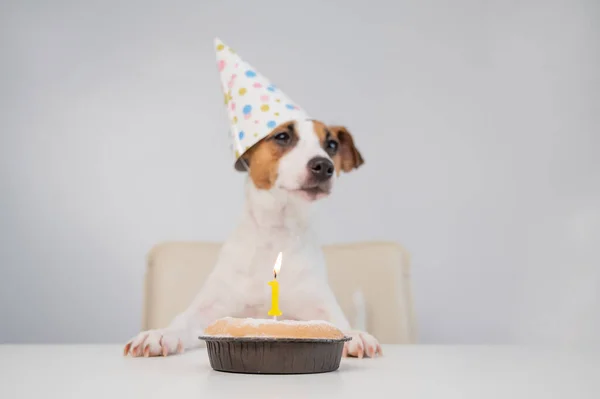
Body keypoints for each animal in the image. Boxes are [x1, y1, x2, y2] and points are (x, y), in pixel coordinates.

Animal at [124, 118, 382, 360]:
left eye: (332, 145)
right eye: (282, 136)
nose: (324, 165)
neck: (276, 234)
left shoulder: (320, 306)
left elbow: (338, 323)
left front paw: (356, 334)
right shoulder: (209, 309)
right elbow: (183, 321)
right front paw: (159, 334)